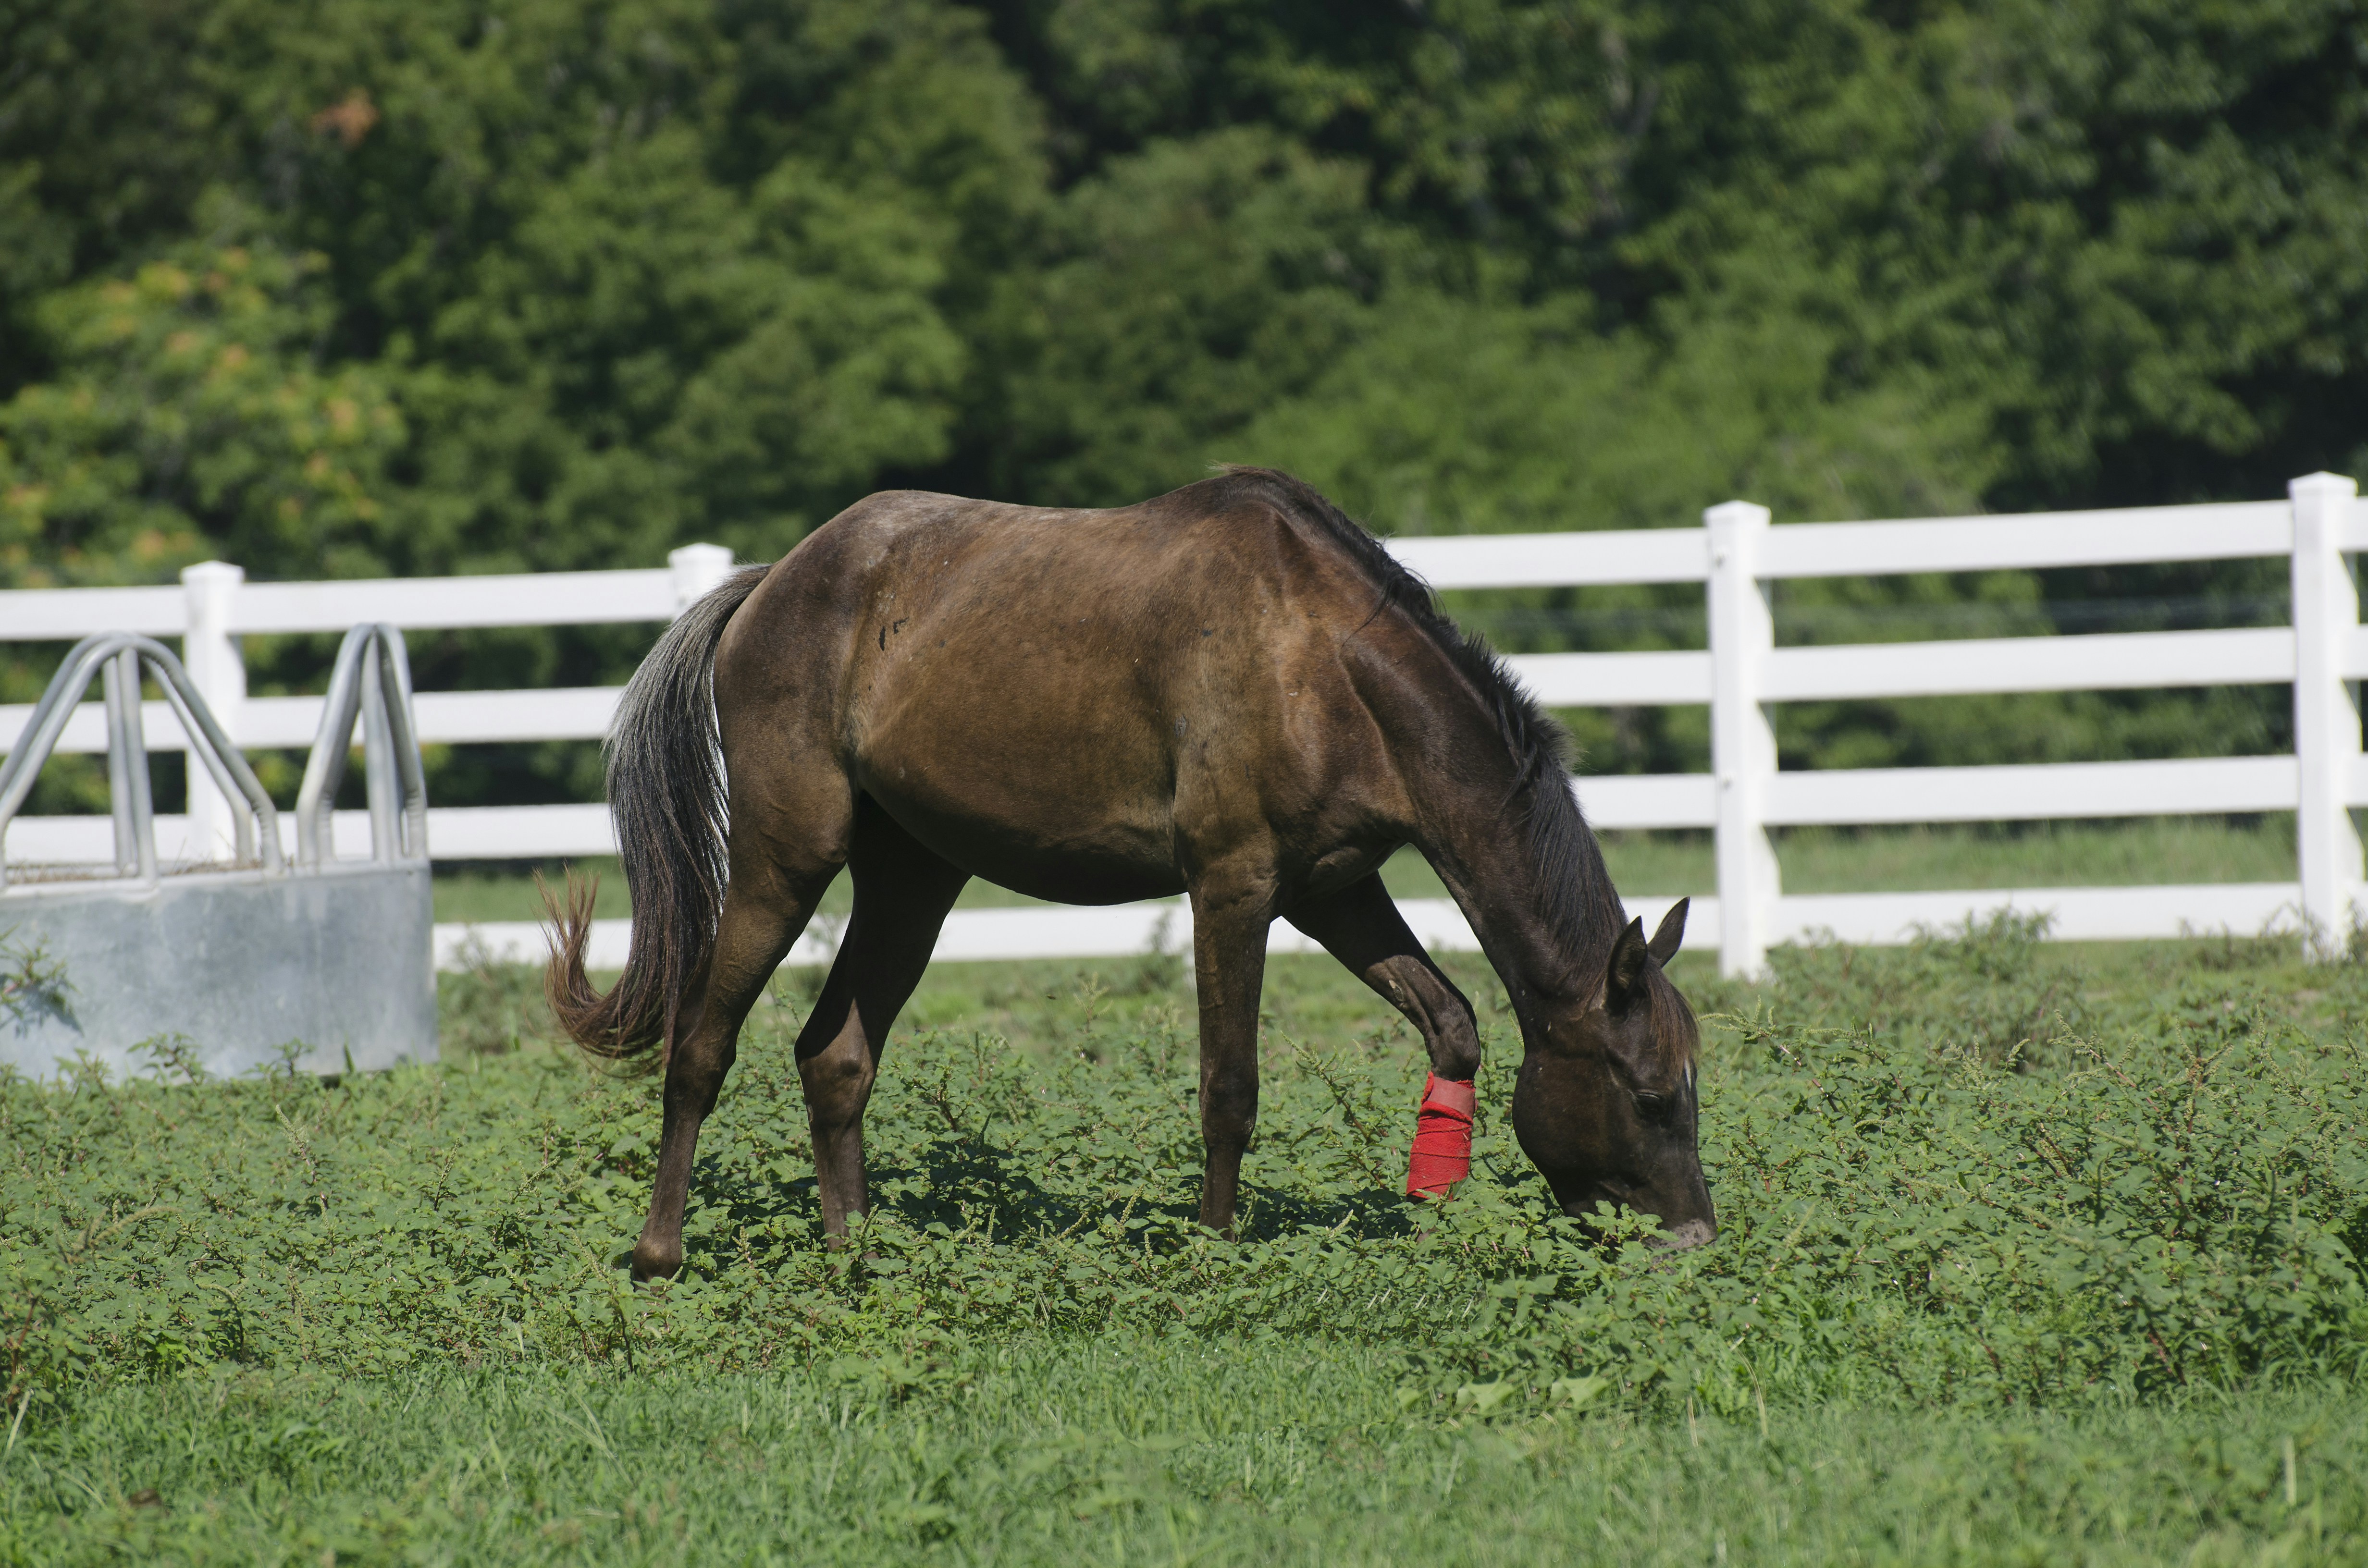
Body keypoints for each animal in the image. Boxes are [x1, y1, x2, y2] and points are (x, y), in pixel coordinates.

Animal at [546, 467, 1715, 1281]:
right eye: (1651, 1094)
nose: (1694, 1237)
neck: (1323, 662)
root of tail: (770, 585)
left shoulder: (1332, 887)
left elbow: (1453, 1026)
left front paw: (1433, 1210)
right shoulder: (1234, 884)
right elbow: (1228, 1086)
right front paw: (1213, 1253)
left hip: (913, 879)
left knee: (834, 1054)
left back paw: (856, 1254)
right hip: (786, 860)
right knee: (701, 1044)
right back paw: (658, 1255)